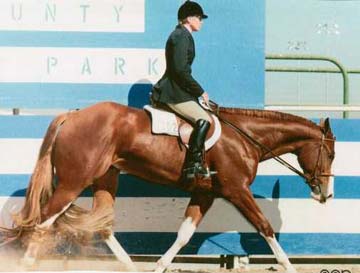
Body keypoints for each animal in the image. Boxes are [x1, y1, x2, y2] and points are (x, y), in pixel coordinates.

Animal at [2, 101, 334, 270]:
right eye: (330, 154)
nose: (326, 195)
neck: (244, 138)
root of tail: (72, 116)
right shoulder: (236, 190)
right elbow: (264, 226)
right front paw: (289, 266)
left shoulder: (205, 192)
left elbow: (184, 234)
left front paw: (160, 265)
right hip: (74, 182)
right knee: (44, 220)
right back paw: (27, 262)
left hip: (105, 178)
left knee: (102, 225)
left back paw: (129, 266)